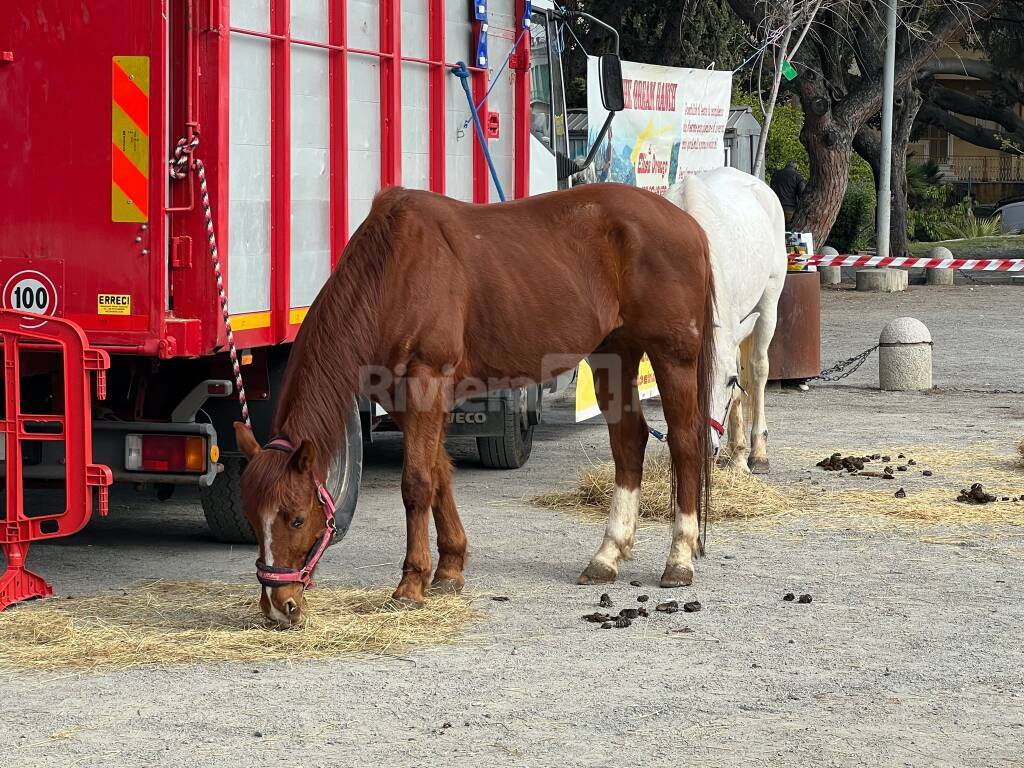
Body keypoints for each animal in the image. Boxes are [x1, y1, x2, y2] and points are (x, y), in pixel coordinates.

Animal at [234, 183, 712, 626]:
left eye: (297, 519)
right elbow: (439, 475)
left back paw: (679, 559)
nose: (278, 606)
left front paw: (411, 584)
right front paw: (449, 569)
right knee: (629, 441)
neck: (395, 270)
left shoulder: (426, 383)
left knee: (685, 443)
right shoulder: (408, 400)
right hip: (615, 352)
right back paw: (606, 556)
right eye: (254, 520)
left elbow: (417, 483)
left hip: (673, 356)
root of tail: (687, 223)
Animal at [667, 165, 786, 473]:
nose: (705, 447)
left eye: (729, 380)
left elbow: (738, 390)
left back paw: (755, 452)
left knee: (757, 368)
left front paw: (741, 459)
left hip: (769, 299)